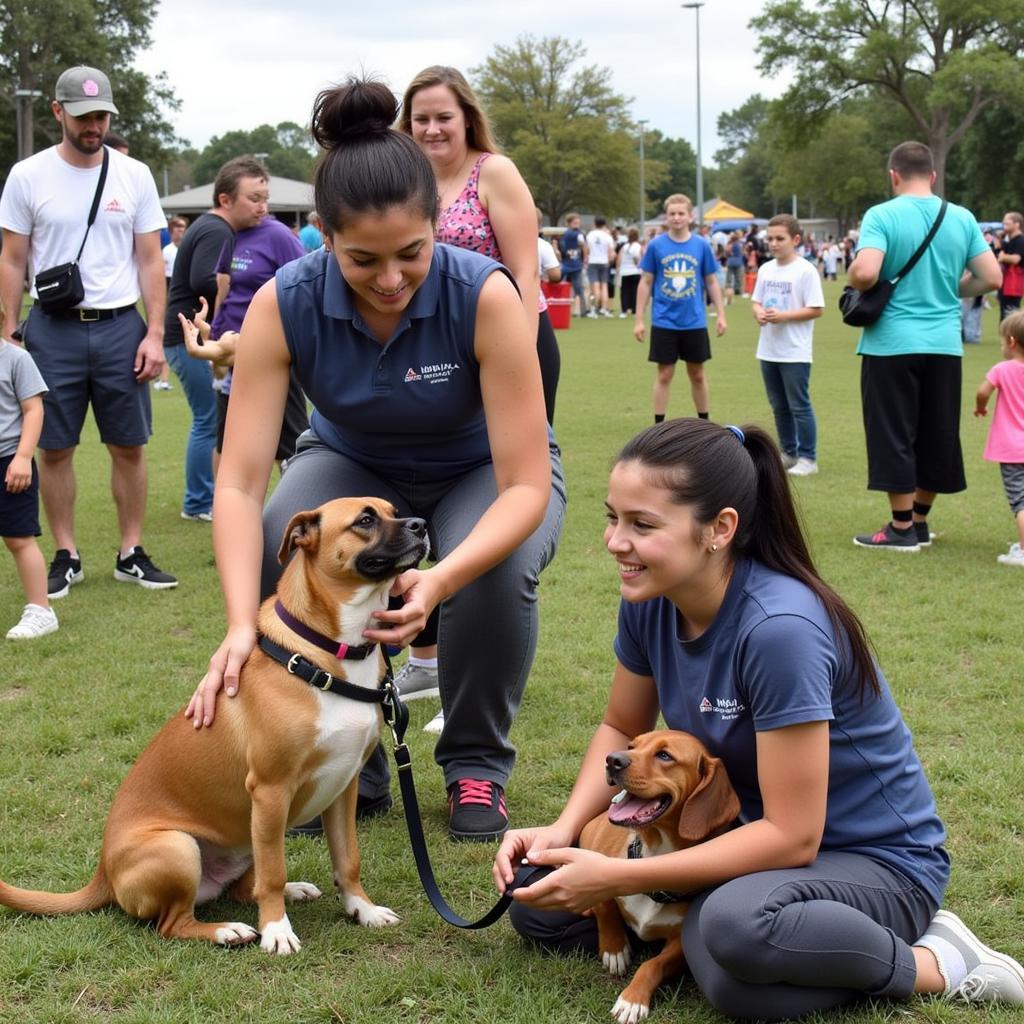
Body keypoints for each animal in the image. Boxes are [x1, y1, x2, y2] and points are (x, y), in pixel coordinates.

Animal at [0, 499, 428, 954]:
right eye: (364, 520)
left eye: (392, 510)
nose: (421, 525)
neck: (327, 655)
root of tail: (103, 874)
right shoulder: (271, 790)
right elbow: (272, 874)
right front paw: (277, 930)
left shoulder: (343, 787)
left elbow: (348, 860)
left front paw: (362, 909)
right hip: (179, 847)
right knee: (173, 923)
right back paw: (228, 930)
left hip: (247, 836)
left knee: (243, 887)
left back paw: (290, 892)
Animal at [581, 729, 741, 1024]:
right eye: (631, 746)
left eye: (664, 755)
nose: (611, 759)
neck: (655, 854)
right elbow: (604, 904)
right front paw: (614, 949)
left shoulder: (678, 946)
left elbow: (652, 964)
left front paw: (632, 999)